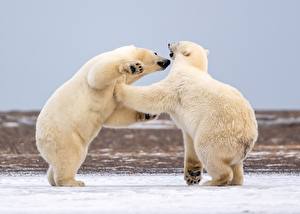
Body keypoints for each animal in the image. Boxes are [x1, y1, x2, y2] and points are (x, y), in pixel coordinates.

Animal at [35, 44, 169, 186]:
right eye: (155, 52)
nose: (167, 61)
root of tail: (40, 140)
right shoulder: (104, 62)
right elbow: (96, 76)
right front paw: (133, 66)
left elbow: (115, 115)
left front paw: (148, 114)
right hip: (64, 135)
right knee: (69, 156)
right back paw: (73, 182)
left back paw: (53, 178)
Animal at [115, 41, 258, 186]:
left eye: (178, 42)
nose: (169, 43)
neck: (192, 67)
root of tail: (247, 139)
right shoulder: (190, 125)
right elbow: (189, 141)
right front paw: (192, 174)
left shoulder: (176, 84)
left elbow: (151, 96)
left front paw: (119, 86)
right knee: (235, 165)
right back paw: (235, 180)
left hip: (216, 130)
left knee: (208, 152)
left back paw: (213, 181)